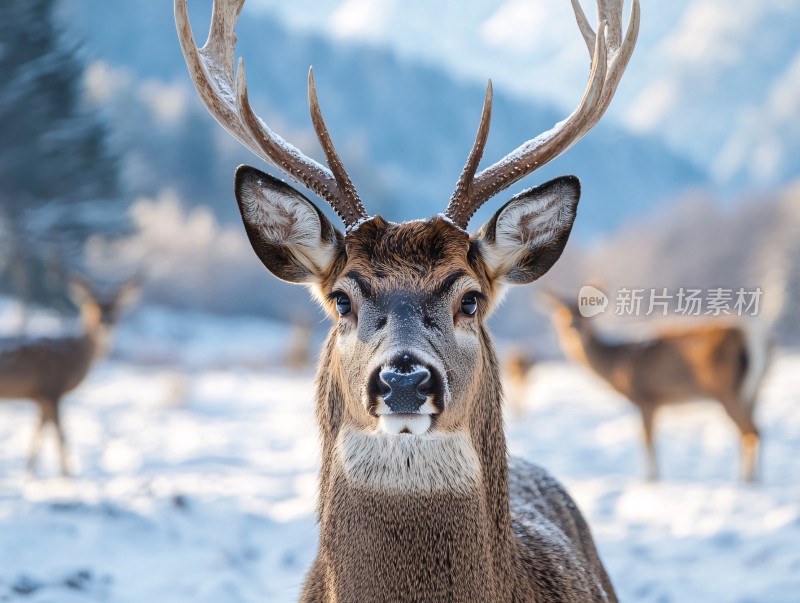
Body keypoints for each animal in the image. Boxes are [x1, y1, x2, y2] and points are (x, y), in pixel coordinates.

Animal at [0, 278, 139, 476]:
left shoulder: (41, 396)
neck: (74, 354)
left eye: (115, 306)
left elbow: (39, 433)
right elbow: (60, 435)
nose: (106, 322)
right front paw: (67, 475)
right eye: (91, 305)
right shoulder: (52, 389)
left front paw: (30, 474)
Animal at [544, 290, 768, 484]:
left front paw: (650, 478)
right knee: (750, 432)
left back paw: (747, 480)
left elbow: (646, 438)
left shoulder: (645, 397)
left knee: (752, 431)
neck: (617, 367)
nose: (573, 325)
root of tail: (756, 337)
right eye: (560, 312)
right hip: (752, 391)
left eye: (585, 312)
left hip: (728, 390)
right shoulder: (656, 401)